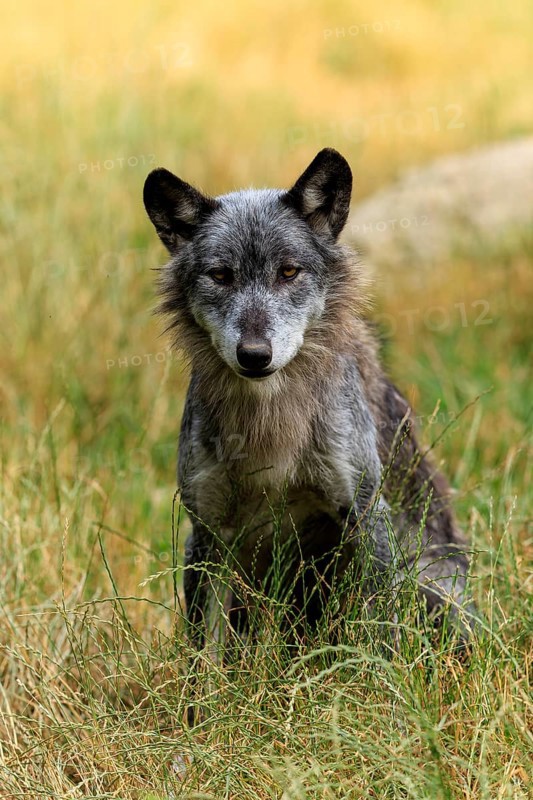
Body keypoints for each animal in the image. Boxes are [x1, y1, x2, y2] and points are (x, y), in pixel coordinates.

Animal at [143, 148, 477, 653]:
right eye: (221, 276)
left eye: (288, 271)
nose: (254, 355)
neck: (272, 424)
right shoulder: (209, 536)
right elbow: (205, 659)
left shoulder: (365, 518)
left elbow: (375, 639)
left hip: (426, 578)